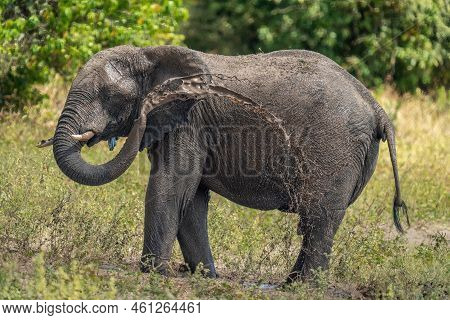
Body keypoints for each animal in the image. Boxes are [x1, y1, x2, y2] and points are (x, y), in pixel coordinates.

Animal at [37, 45, 408, 282]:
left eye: (110, 97)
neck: (150, 53)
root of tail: (376, 107)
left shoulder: (189, 120)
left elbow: (169, 190)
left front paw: (152, 274)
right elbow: (191, 200)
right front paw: (206, 277)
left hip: (335, 146)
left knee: (319, 217)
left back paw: (304, 288)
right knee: (318, 220)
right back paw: (289, 284)